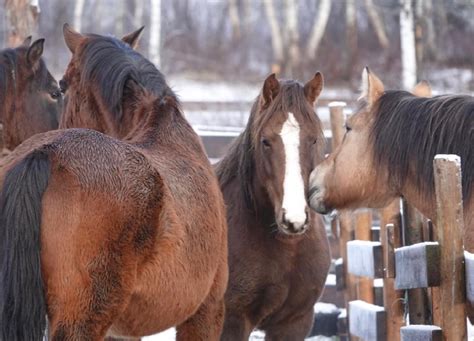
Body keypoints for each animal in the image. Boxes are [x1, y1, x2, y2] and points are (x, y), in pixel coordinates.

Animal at [215, 73, 330, 338]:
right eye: (265, 141)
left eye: (314, 139)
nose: (294, 219)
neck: (287, 247)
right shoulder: (232, 321)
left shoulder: (294, 322)